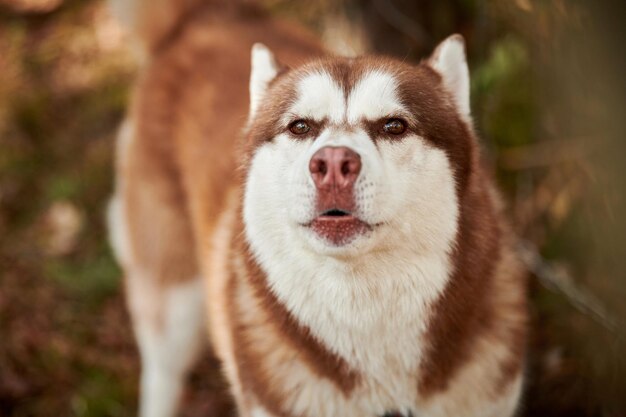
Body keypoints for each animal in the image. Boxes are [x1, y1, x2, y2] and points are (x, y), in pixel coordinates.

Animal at [107, 0, 528, 416]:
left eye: (394, 126)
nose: (334, 164)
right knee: (162, 371)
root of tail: (206, 16)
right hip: (174, 298)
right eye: (300, 127)